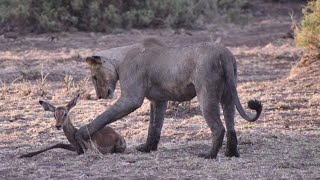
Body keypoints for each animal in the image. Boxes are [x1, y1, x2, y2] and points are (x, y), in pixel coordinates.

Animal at [78, 38, 262, 159]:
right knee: (231, 125)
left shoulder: (132, 98)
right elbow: (154, 126)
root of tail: (224, 54)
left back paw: (208, 155)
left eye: (94, 77)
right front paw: (147, 148)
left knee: (219, 127)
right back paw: (231, 153)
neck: (120, 59)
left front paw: (83, 132)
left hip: (206, 93)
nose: (99, 96)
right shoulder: (158, 100)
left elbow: (105, 116)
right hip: (228, 94)